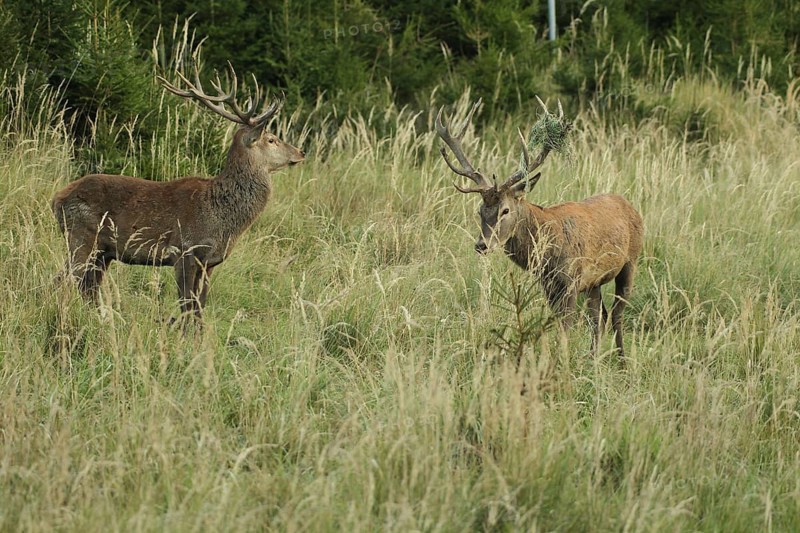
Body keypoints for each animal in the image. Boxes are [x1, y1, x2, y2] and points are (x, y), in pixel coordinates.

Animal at [52, 64, 305, 323]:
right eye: (272, 139)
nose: (301, 152)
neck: (221, 218)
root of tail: (57, 199)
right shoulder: (184, 251)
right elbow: (187, 308)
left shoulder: (209, 263)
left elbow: (199, 309)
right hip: (81, 236)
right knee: (63, 280)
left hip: (103, 253)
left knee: (87, 288)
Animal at [436, 99, 643, 359]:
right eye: (480, 210)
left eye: (505, 210)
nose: (482, 244)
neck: (546, 247)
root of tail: (631, 206)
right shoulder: (549, 284)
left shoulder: (571, 279)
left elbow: (565, 327)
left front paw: (561, 360)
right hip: (594, 282)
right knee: (599, 317)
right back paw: (593, 359)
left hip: (630, 262)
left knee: (616, 314)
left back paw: (622, 360)